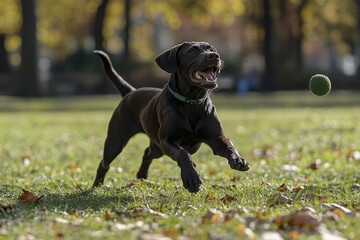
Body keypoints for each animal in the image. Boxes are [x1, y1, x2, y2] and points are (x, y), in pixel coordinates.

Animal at [93, 41, 250, 193]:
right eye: (192, 51)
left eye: (212, 49)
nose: (214, 56)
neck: (192, 101)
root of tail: (130, 92)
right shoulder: (166, 140)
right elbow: (183, 153)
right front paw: (191, 178)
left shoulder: (215, 138)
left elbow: (229, 145)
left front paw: (238, 160)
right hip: (117, 140)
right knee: (104, 163)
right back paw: (97, 185)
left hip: (156, 148)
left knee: (147, 153)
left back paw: (142, 176)